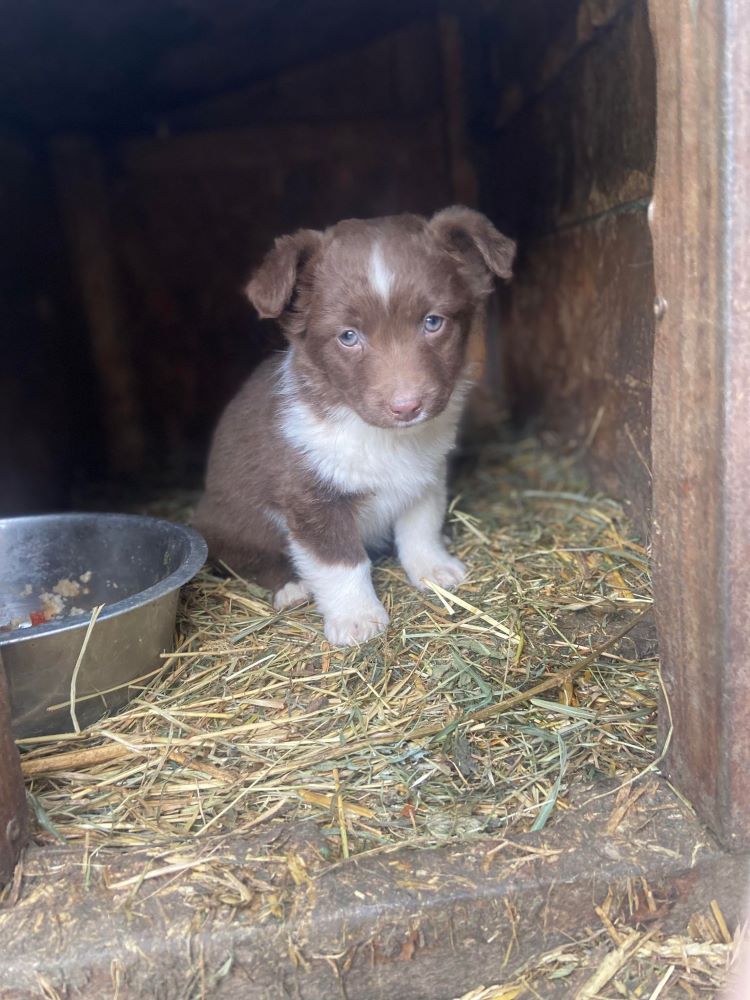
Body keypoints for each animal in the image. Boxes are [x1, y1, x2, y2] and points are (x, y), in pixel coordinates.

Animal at [195, 209, 516, 648]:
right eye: (348, 336)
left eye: (433, 322)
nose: (407, 406)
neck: (381, 437)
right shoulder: (311, 498)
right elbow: (340, 562)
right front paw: (357, 618)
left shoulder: (425, 475)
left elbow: (421, 525)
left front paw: (433, 567)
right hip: (235, 520)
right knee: (241, 557)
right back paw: (291, 587)